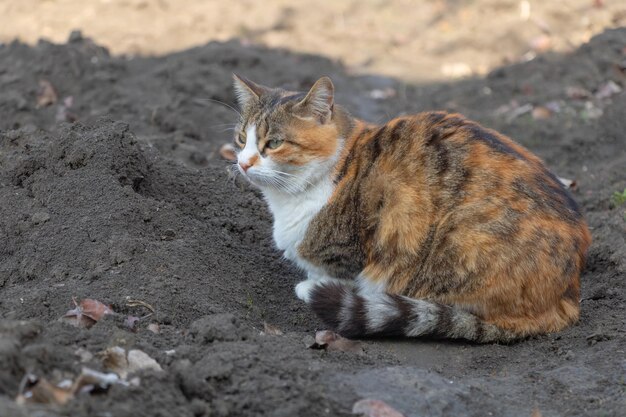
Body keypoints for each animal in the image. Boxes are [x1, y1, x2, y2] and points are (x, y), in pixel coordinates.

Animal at [230, 74, 588, 342]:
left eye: (274, 143)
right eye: (240, 139)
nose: (243, 163)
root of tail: (568, 295)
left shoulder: (352, 247)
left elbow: (337, 273)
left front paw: (313, 287)